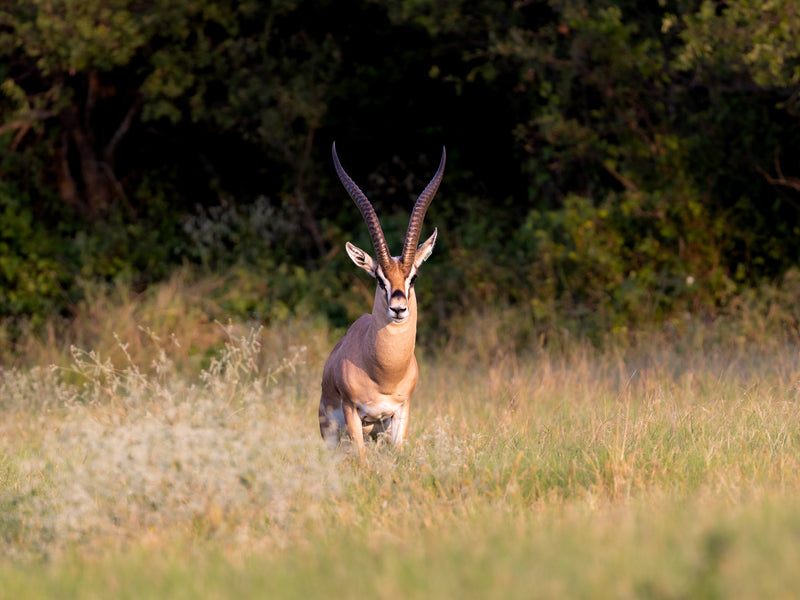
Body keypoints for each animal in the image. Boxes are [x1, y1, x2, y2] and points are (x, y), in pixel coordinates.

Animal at [318, 142, 445, 459]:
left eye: (413, 277)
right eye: (379, 279)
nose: (398, 309)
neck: (383, 375)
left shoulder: (401, 413)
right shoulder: (353, 412)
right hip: (332, 433)